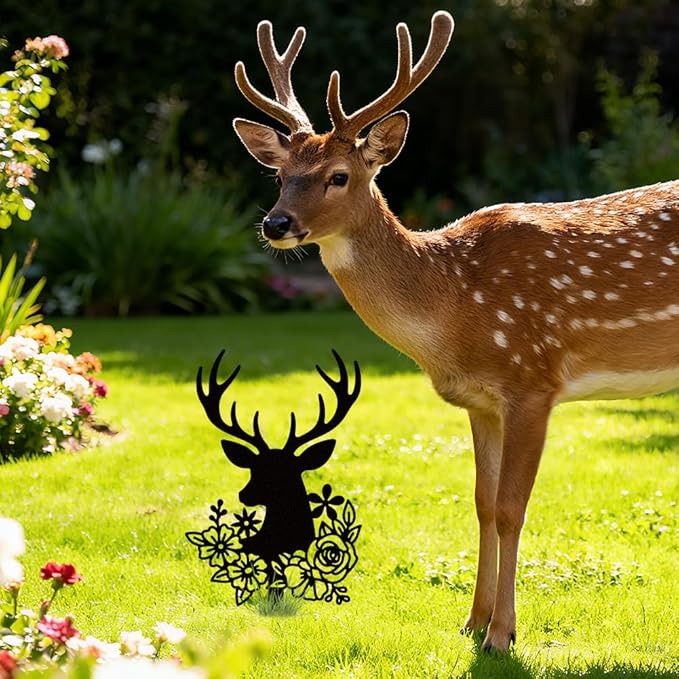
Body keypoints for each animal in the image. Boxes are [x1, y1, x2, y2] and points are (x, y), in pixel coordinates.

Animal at [231, 10, 679, 651]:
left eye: (338, 175)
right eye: (280, 175)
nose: (276, 223)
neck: (454, 313)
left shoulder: (532, 381)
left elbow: (513, 507)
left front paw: (503, 634)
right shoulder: (481, 401)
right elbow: (483, 503)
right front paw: (472, 621)